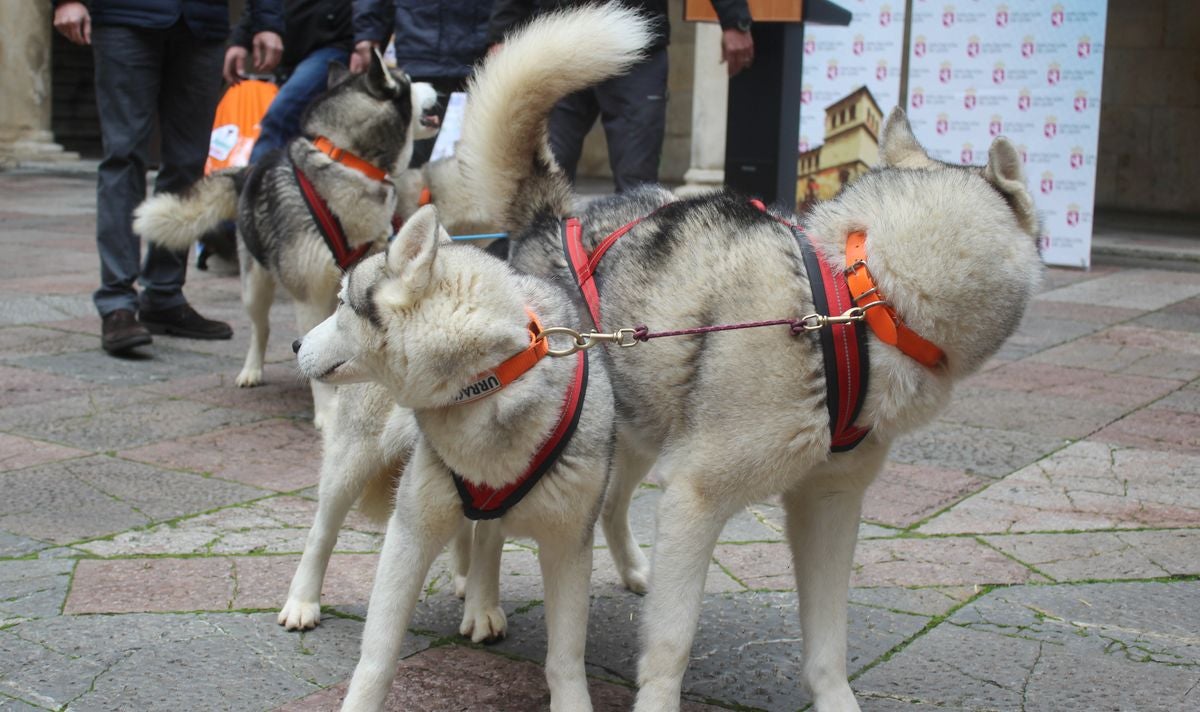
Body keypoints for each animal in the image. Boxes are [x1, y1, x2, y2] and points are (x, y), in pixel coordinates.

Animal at [294, 202, 614, 705]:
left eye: (342, 304)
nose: (295, 344)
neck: (495, 378)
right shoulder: (410, 530)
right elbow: (378, 655)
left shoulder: (570, 544)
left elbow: (566, 660)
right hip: (352, 461)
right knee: (322, 530)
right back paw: (302, 601)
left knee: (485, 533)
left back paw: (478, 594)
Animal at [453, 6, 1046, 710]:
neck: (859, 301)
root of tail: (552, 218)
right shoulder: (697, 496)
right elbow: (672, 642)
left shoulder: (829, 501)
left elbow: (828, 643)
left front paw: (836, 699)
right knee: (491, 523)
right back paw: (481, 602)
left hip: (634, 434)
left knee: (614, 503)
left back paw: (631, 569)